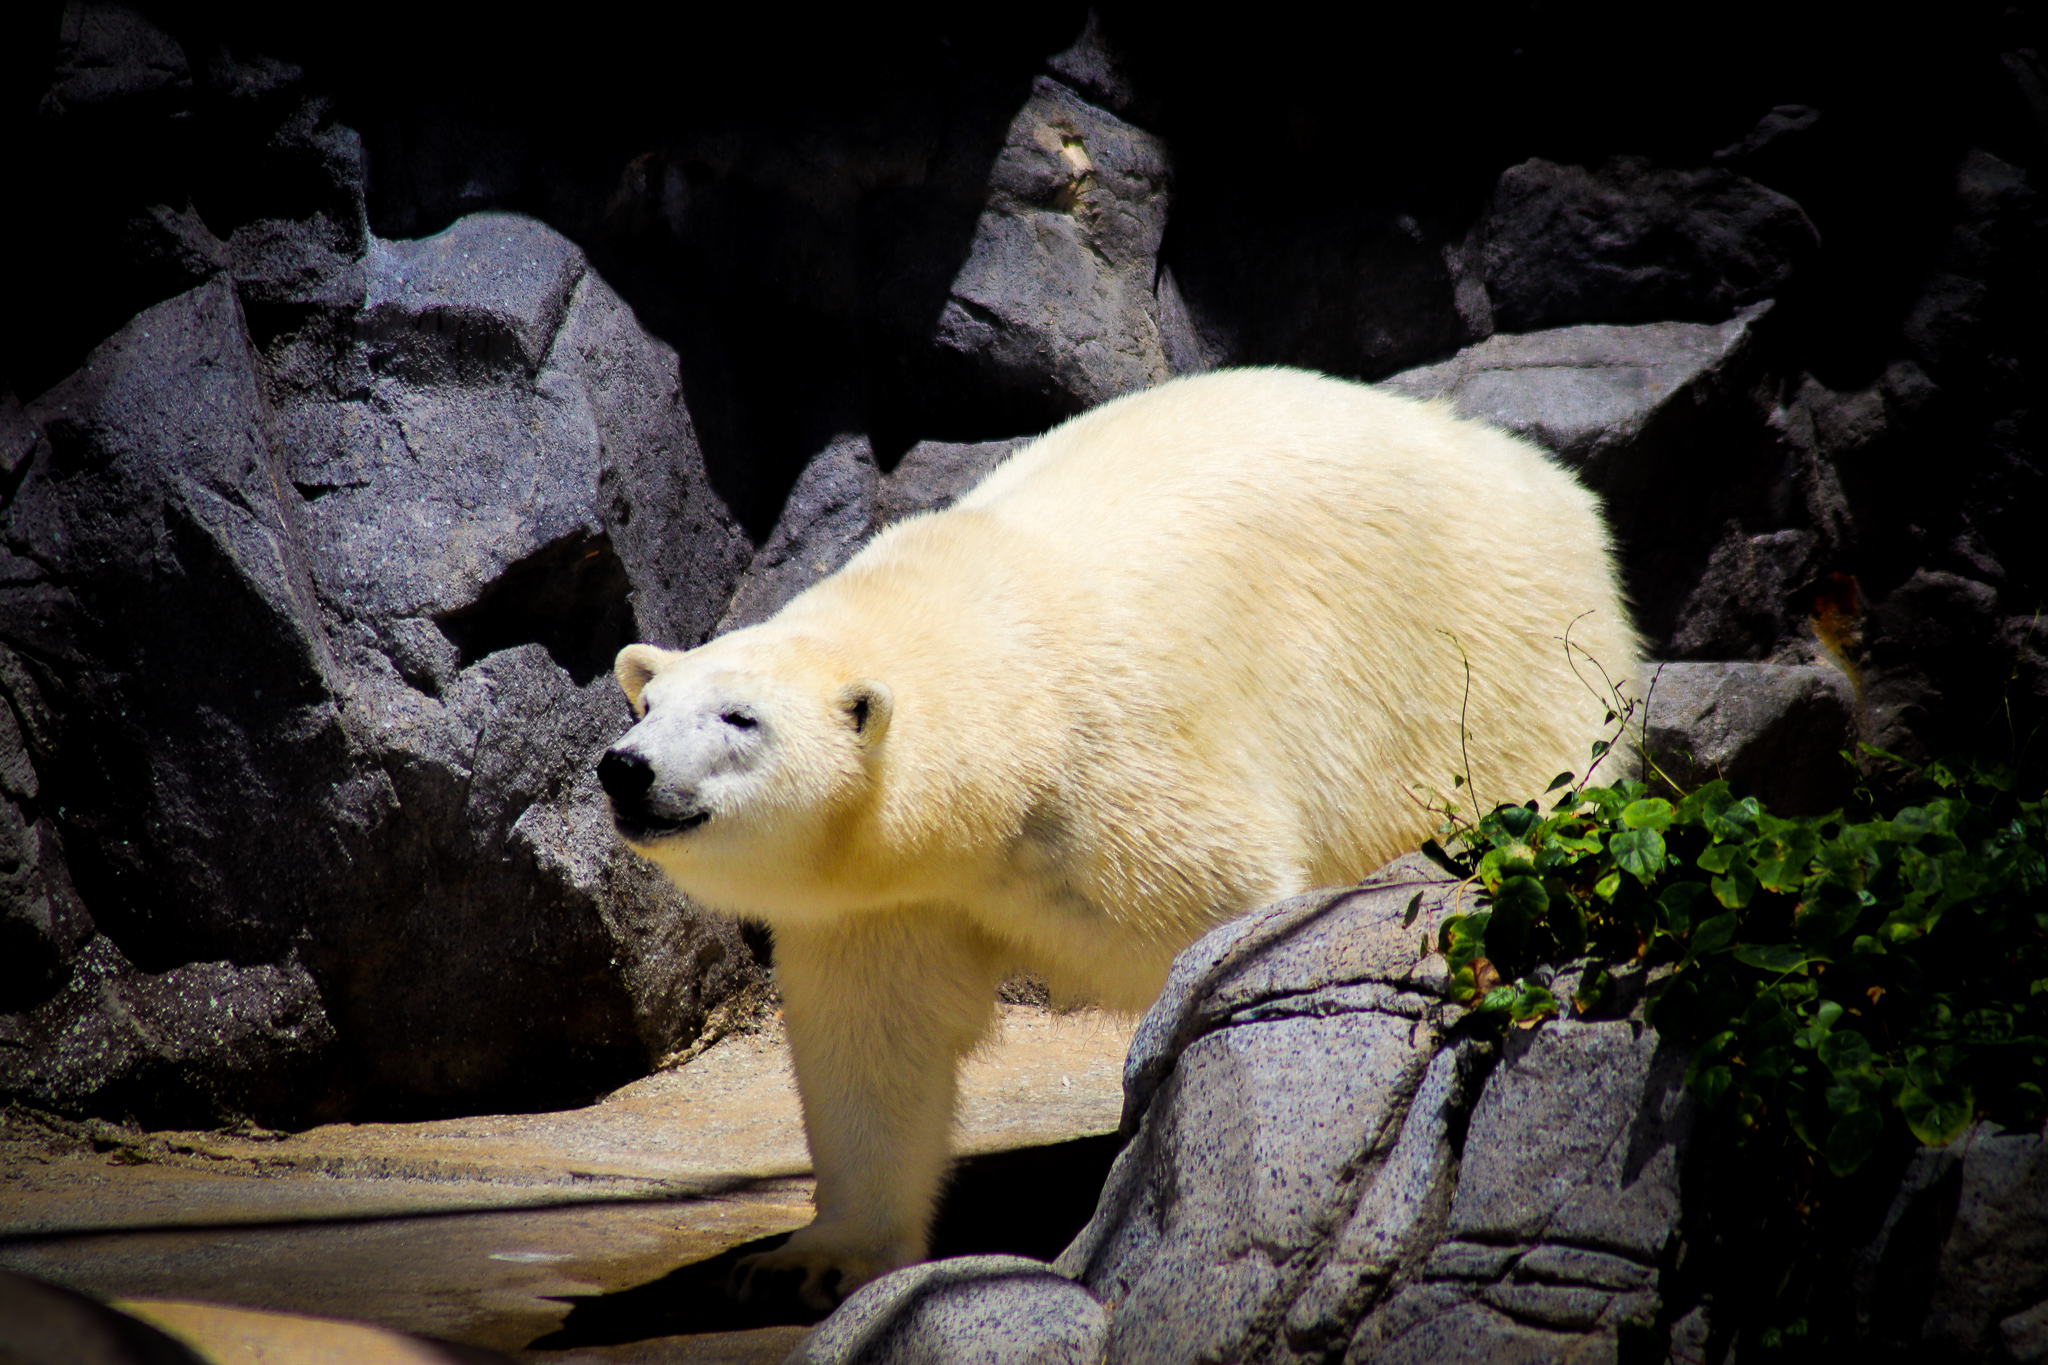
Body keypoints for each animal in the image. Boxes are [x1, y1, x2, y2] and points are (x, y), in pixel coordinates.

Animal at [598, 366, 1640, 1304]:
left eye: (740, 718)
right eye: (650, 702)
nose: (625, 768)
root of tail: (1551, 483)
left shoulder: (1118, 770)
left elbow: (1218, 918)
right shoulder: (888, 899)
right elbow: (873, 1040)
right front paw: (810, 1259)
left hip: (1485, 658)